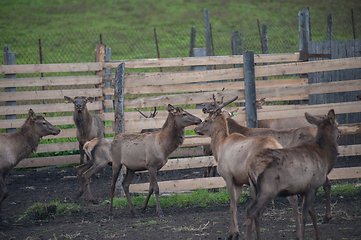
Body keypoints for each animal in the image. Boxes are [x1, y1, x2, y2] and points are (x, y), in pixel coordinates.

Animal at [194, 95, 298, 240]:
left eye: (206, 120)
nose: (195, 128)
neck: (219, 147)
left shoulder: (228, 177)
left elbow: (232, 206)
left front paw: (233, 233)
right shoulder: (239, 181)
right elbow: (236, 205)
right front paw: (234, 231)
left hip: (258, 178)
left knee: (261, 207)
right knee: (293, 200)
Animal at [245, 109, 338, 240]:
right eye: (337, 123)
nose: (340, 131)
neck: (326, 157)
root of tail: (250, 166)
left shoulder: (304, 190)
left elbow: (313, 214)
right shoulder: (312, 186)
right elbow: (305, 216)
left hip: (254, 187)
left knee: (255, 212)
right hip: (267, 189)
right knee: (251, 210)